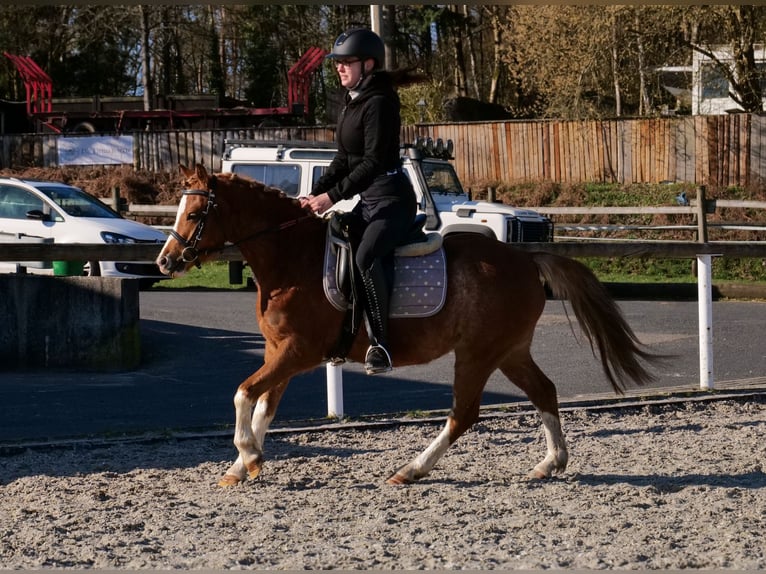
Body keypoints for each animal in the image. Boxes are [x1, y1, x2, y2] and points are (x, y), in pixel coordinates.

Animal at [157, 164, 659, 487]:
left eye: (196, 214)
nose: (165, 262)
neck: (291, 258)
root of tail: (524, 257)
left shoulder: (298, 352)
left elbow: (243, 393)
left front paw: (250, 456)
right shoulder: (277, 351)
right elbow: (263, 406)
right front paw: (241, 466)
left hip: (477, 353)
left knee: (463, 414)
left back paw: (411, 470)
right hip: (509, 350)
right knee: (544, 391)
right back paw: (549, 463)